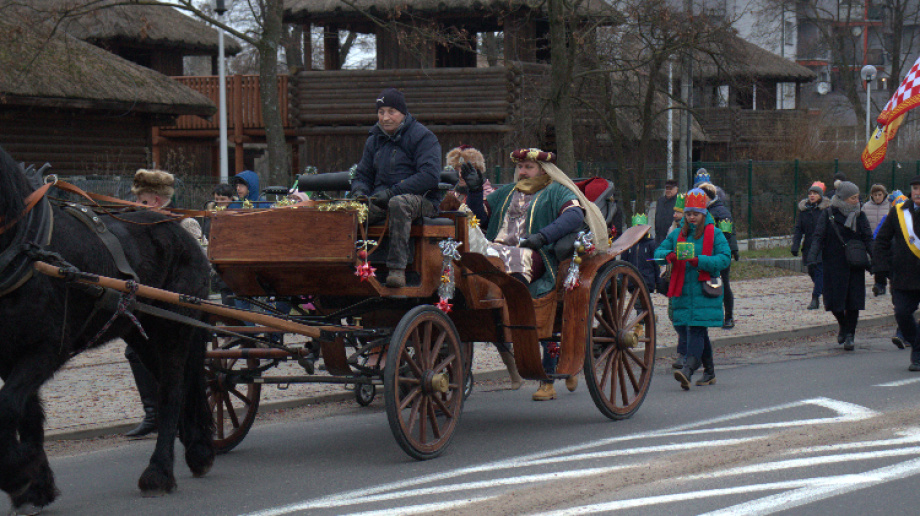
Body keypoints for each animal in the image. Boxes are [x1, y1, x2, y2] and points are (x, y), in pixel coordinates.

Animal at [0, 146, 214, 516]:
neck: (25, 247)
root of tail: (184, 233)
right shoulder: (7, 356)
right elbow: (27, 414)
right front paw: (36, 486)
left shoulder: (45, 350)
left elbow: (8, 408)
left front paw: (18, 475)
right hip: (142, 335)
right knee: (179, 385)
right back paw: (197, 449)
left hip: (174, 328)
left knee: (172, 391)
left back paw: (159, 472)